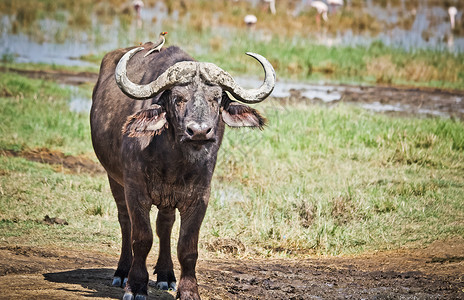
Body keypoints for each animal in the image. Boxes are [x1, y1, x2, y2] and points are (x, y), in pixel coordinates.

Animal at [90, 42, 276, 300]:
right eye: (178, 98)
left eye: (216, 98)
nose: (198, 131)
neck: (173, 162)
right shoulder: (135, 191)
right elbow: (142, 239)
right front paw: (136, 286)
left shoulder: (199, 197)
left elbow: (187, 248)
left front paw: (188, 290)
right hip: (114, 179)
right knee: (125, 221)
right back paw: (122, 272)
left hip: (167, 199)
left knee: (165, 226)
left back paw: (166, 274)